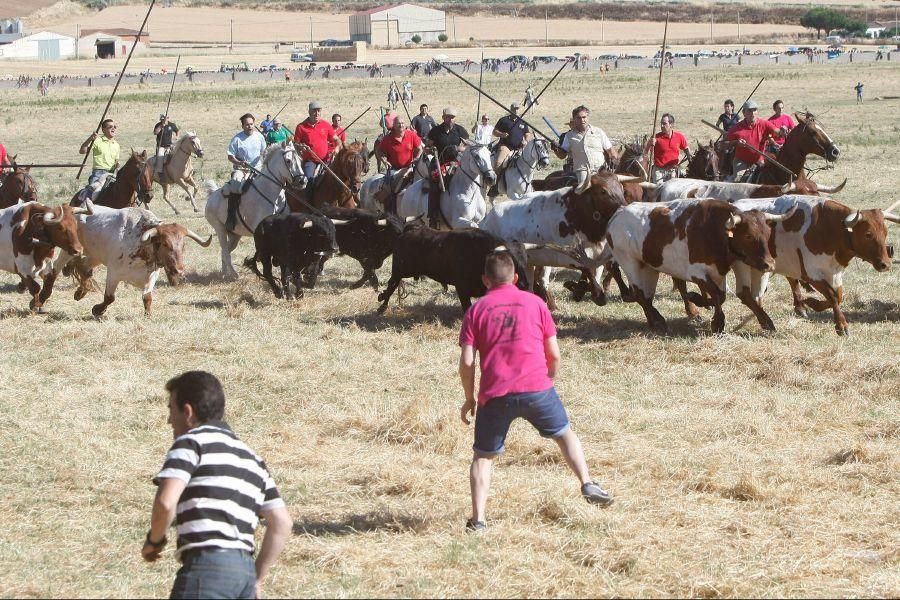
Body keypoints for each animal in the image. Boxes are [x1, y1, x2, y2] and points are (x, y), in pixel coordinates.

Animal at [40, 206, 214, 316]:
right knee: (54, 271)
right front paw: (98, 310)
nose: (179, 270)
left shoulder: (152, 277)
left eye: (183, 245)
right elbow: (109, 297)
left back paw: (80, 291)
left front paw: (148, 315)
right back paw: (42, 297)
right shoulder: (114, 273)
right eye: (165, 244)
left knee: (83, 267)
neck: (142, 247)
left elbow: (147, 298)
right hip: (68, 250)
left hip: (95, 256)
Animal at [204, 141, 306, 278]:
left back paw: (224, 274)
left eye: (300, 160)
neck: (273, 195)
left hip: (235, 235)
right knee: (225, 252)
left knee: (225, 252)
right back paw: (234, 275)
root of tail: (212, 195)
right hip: (219, 229)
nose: (302, 181)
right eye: (288, 161)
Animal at [376, 221, 532, 314]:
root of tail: (409, 229)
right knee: (392, 284)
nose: (526, 285)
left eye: (525, 262)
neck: (480, 254)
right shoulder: (461, 288)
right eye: (512, 264)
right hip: (401, 269)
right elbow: (467, 306)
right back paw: (382, 305)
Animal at [604, 200, 796, 332]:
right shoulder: (697, 272)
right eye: (748, 236)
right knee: (639, 294)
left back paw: (653, 320)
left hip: (649, 267)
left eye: (768, 233)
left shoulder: (719, 272)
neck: (713, 231)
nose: (769, 264)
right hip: (629, 263)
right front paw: (716, 320)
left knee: (646, 296)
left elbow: (721, 296)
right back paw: (659, 320)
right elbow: (718, 295)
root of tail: (616, 216)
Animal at [732, 197, 900, 338]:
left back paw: (764, 320)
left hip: (761, 268)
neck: (830, 229)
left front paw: (812, 303)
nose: (885, 264)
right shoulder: (811, 273)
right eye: (868, 234)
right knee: (744, 294)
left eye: (885, 233)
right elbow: (832, 296)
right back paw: (767, 321)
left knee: (756, 296)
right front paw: (841, 325)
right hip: (742, 264)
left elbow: (838, 296)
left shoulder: (834, 272)